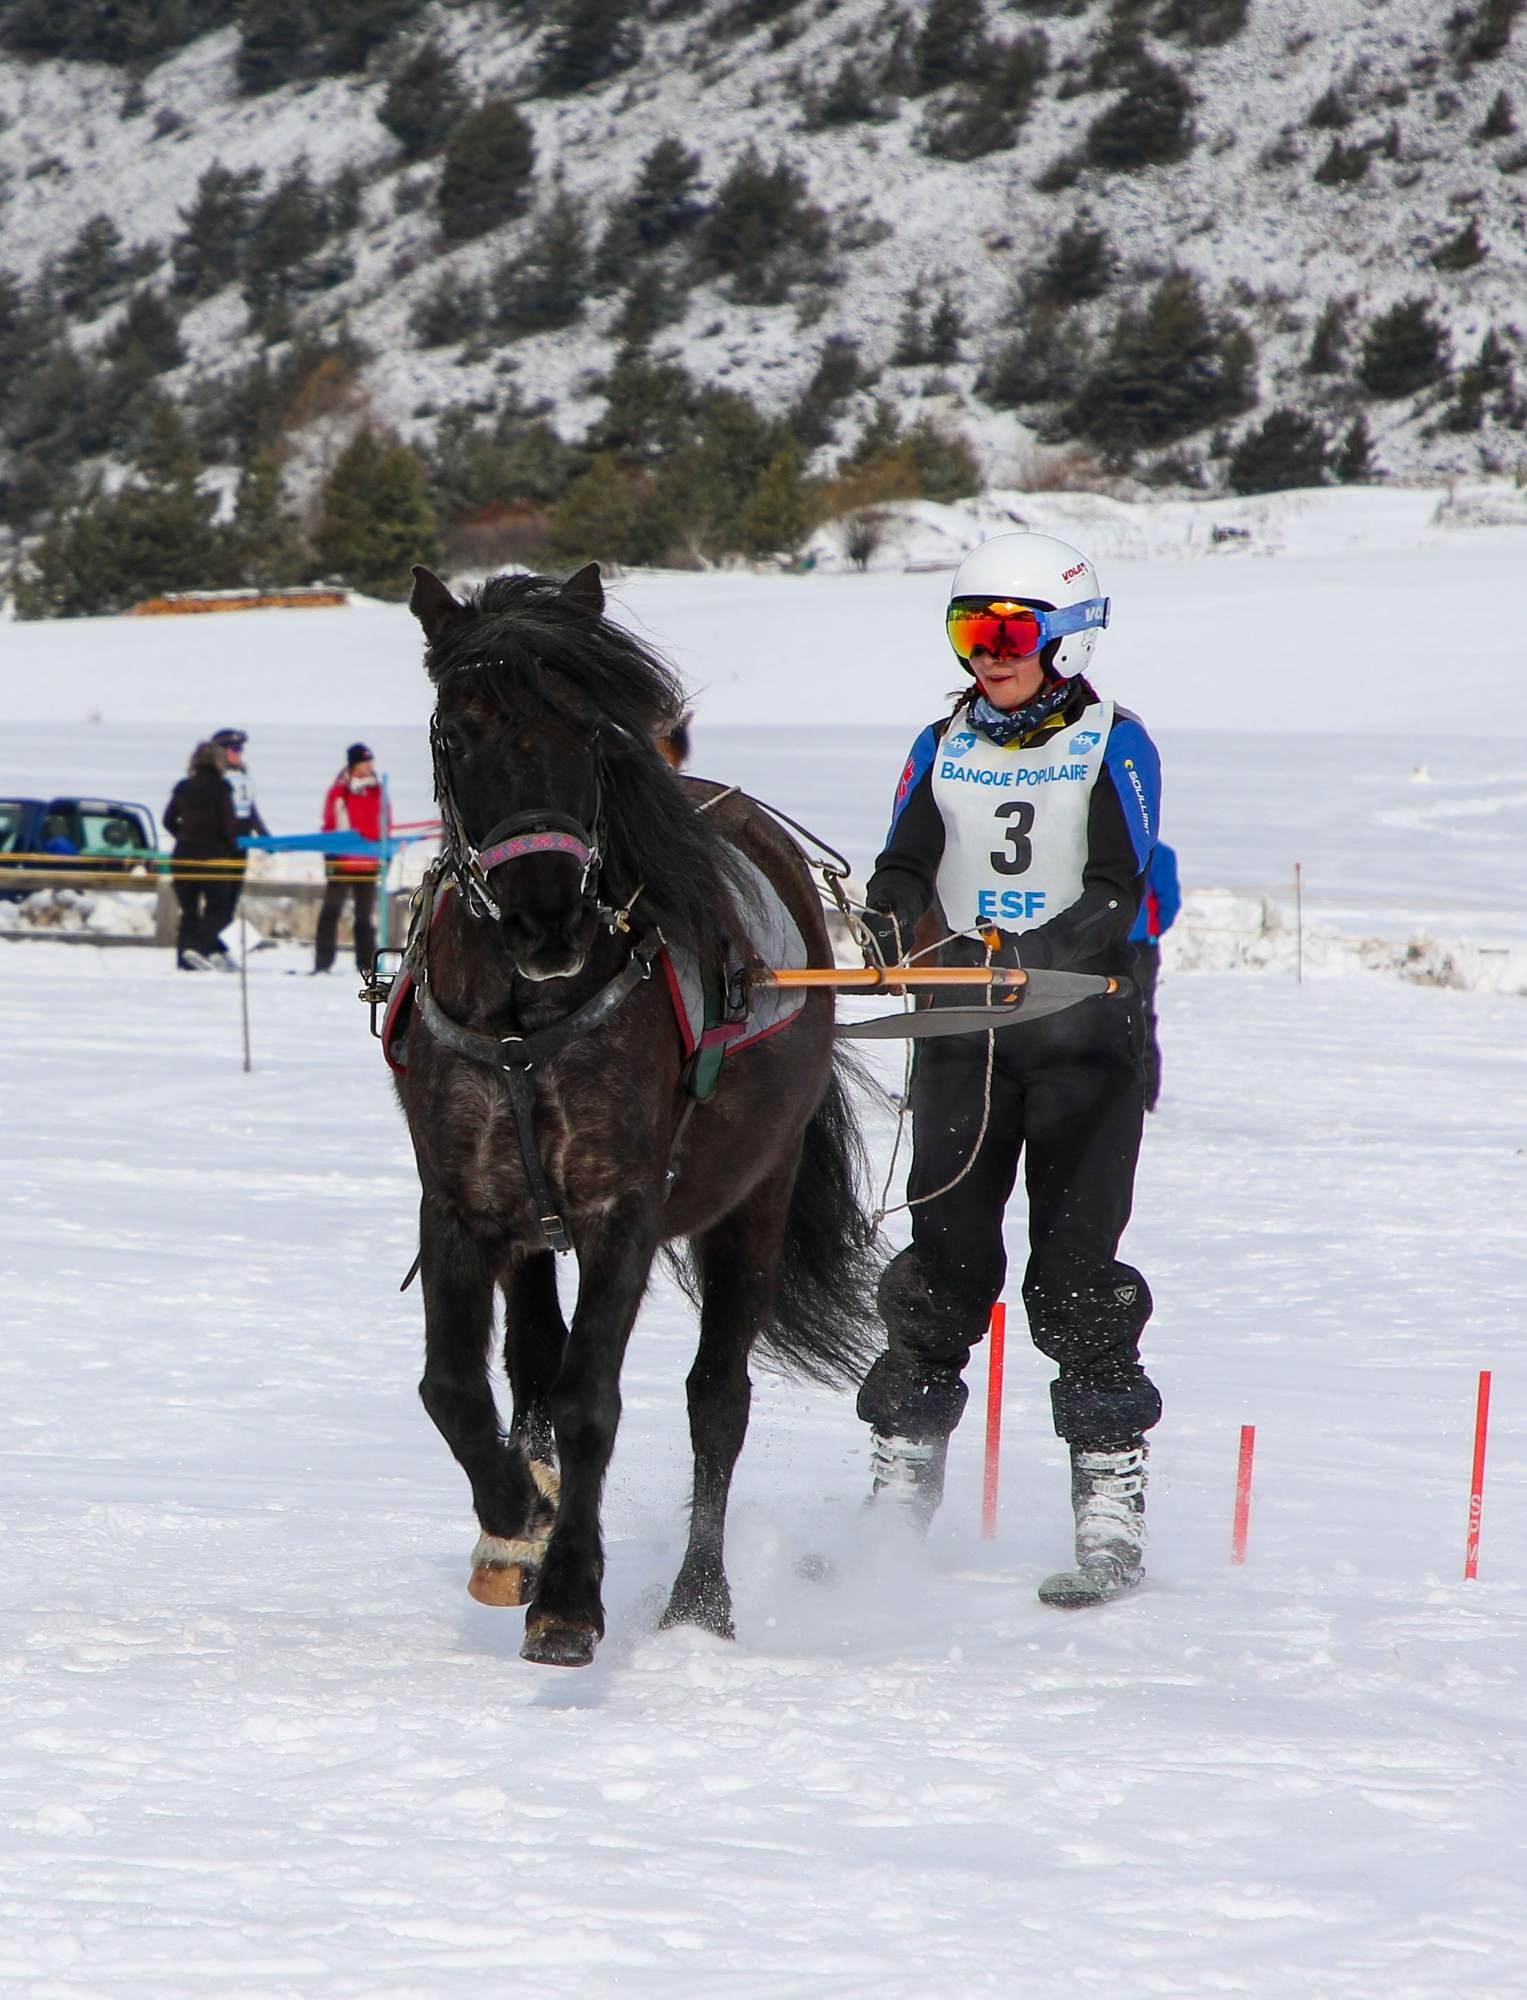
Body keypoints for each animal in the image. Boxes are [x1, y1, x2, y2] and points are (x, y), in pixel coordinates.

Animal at [390, 562, 881, 1668]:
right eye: (458, 731)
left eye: (590, 728)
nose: (547, 916)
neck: (525, 1016)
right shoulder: (461, 1203)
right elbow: (454, 1385)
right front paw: (516, 1524)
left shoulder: (622, 1206)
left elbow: (590, 1398)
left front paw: (569, 1594)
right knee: (529, 1357)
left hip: (756, 1198)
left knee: (716, 1401)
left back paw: (701, 1601)